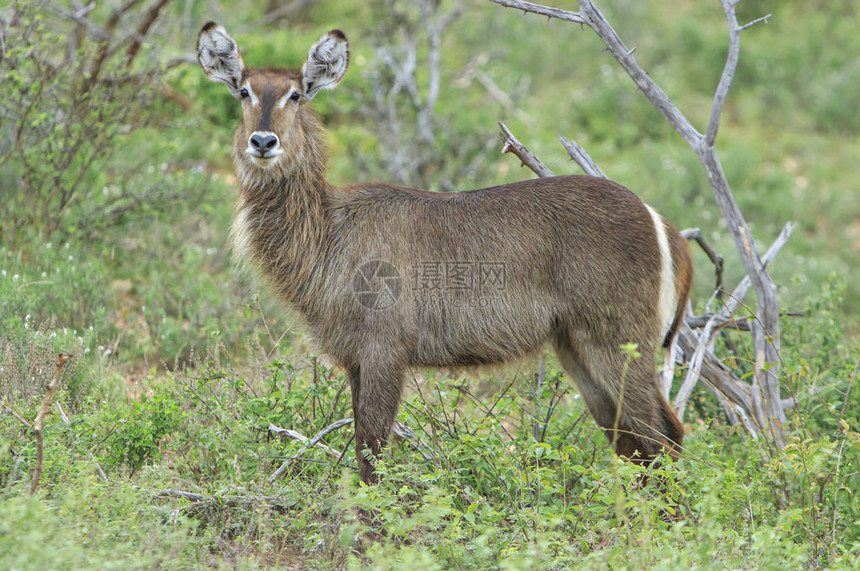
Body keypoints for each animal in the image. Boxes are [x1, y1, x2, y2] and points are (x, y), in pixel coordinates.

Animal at [198, 23, 696, 488]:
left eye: (296, 94)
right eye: (243, 91)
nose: (263, 141)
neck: (329, 229)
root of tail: (662, 222)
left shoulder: (385, 349)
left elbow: (373, 455)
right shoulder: (354, 358)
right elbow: (365, 450)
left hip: (620, 341)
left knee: (663, 433)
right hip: (576, 345)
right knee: (632, 441)